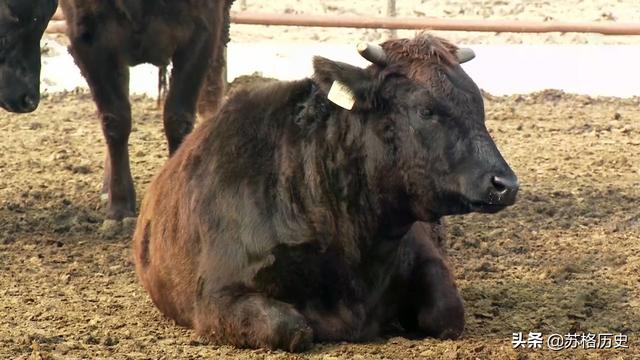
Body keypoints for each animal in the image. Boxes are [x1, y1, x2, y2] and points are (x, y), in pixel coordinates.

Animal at [60, 0, 234, 221]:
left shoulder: (203, 28)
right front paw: (120, 207)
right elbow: (115, 118)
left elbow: (178, 118)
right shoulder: (87, 34)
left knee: (213, 87)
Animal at [132, 34, 516, 352]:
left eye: (478, 106)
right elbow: (289, 327)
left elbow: (446, 314)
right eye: (426, 109)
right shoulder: (215, 295)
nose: (506, 184)